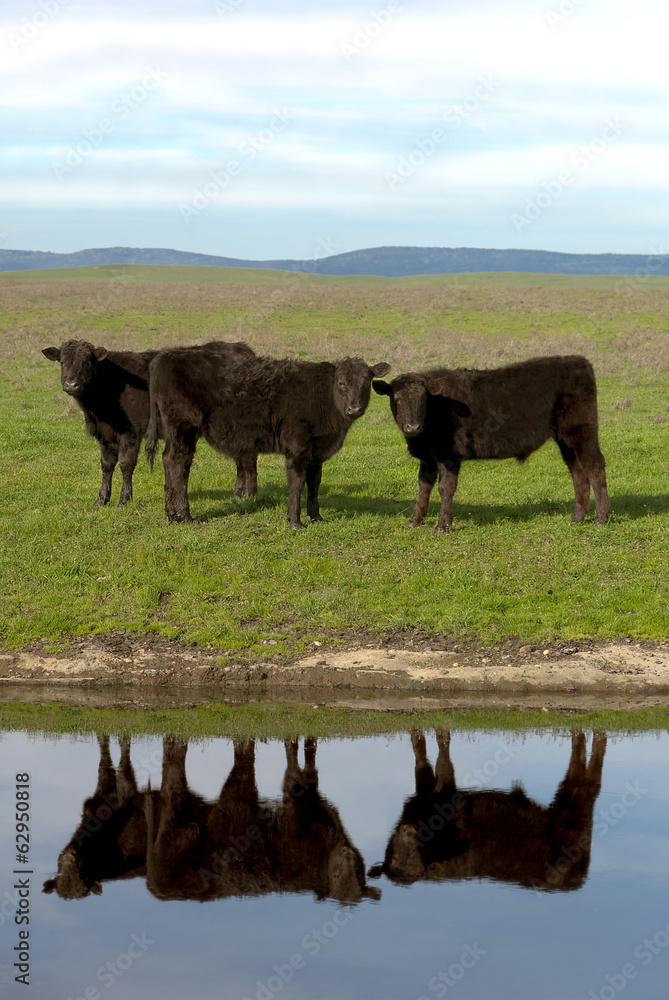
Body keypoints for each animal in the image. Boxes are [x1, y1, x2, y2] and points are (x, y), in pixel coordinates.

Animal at [42, 339, 257, 507]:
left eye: (87, 362)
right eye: (62, 362)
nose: (71, 385)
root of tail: (243, 349)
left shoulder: (130, 432)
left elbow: (126, 465)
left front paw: (124, 500)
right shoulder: (105, 435)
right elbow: (106, 465)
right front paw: (101, 500)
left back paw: (248, 494)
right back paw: (239, 494)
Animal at [145, 737, 381, 904]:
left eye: (358, 873)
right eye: (338, 874)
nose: (346, 853)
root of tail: (156, 886)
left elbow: (311, 762)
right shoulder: (293, 810)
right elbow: (293, 766)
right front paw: (291, 742)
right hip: (185, 824)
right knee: (174, 780)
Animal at [146, 351, 390, 527]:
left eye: (366, 382)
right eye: (341, 382)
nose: (354, 408)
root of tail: (166, 356)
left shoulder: (317, 452)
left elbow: (314, 484)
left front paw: (316, 516)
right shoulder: (297, 447)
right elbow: (297, 483)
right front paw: (295, 521)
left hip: (175, 434)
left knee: (168, 460)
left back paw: (172, 514)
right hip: (184, 429)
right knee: (179, 465)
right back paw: (185, 516)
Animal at [367, 729, 606, 892]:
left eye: (419, 851)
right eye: (395, 854)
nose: (409, 828)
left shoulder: (448, 792)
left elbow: (443, 756)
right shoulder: (422, 791)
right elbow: (419, 756)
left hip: (574, 814)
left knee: (588, 782)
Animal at [372, 355, 611, 532]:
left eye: (424, 400)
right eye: (396, 399)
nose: (412, 427)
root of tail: (579, 361)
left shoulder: (449, 456)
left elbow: (445, 489)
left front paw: (443, 525)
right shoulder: (428, 458)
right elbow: (423, 487)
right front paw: (414, 520)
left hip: (582, 431)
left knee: (594, 466)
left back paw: (601, 518)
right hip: (566, 441)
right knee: (577, 471)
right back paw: (578, 517)